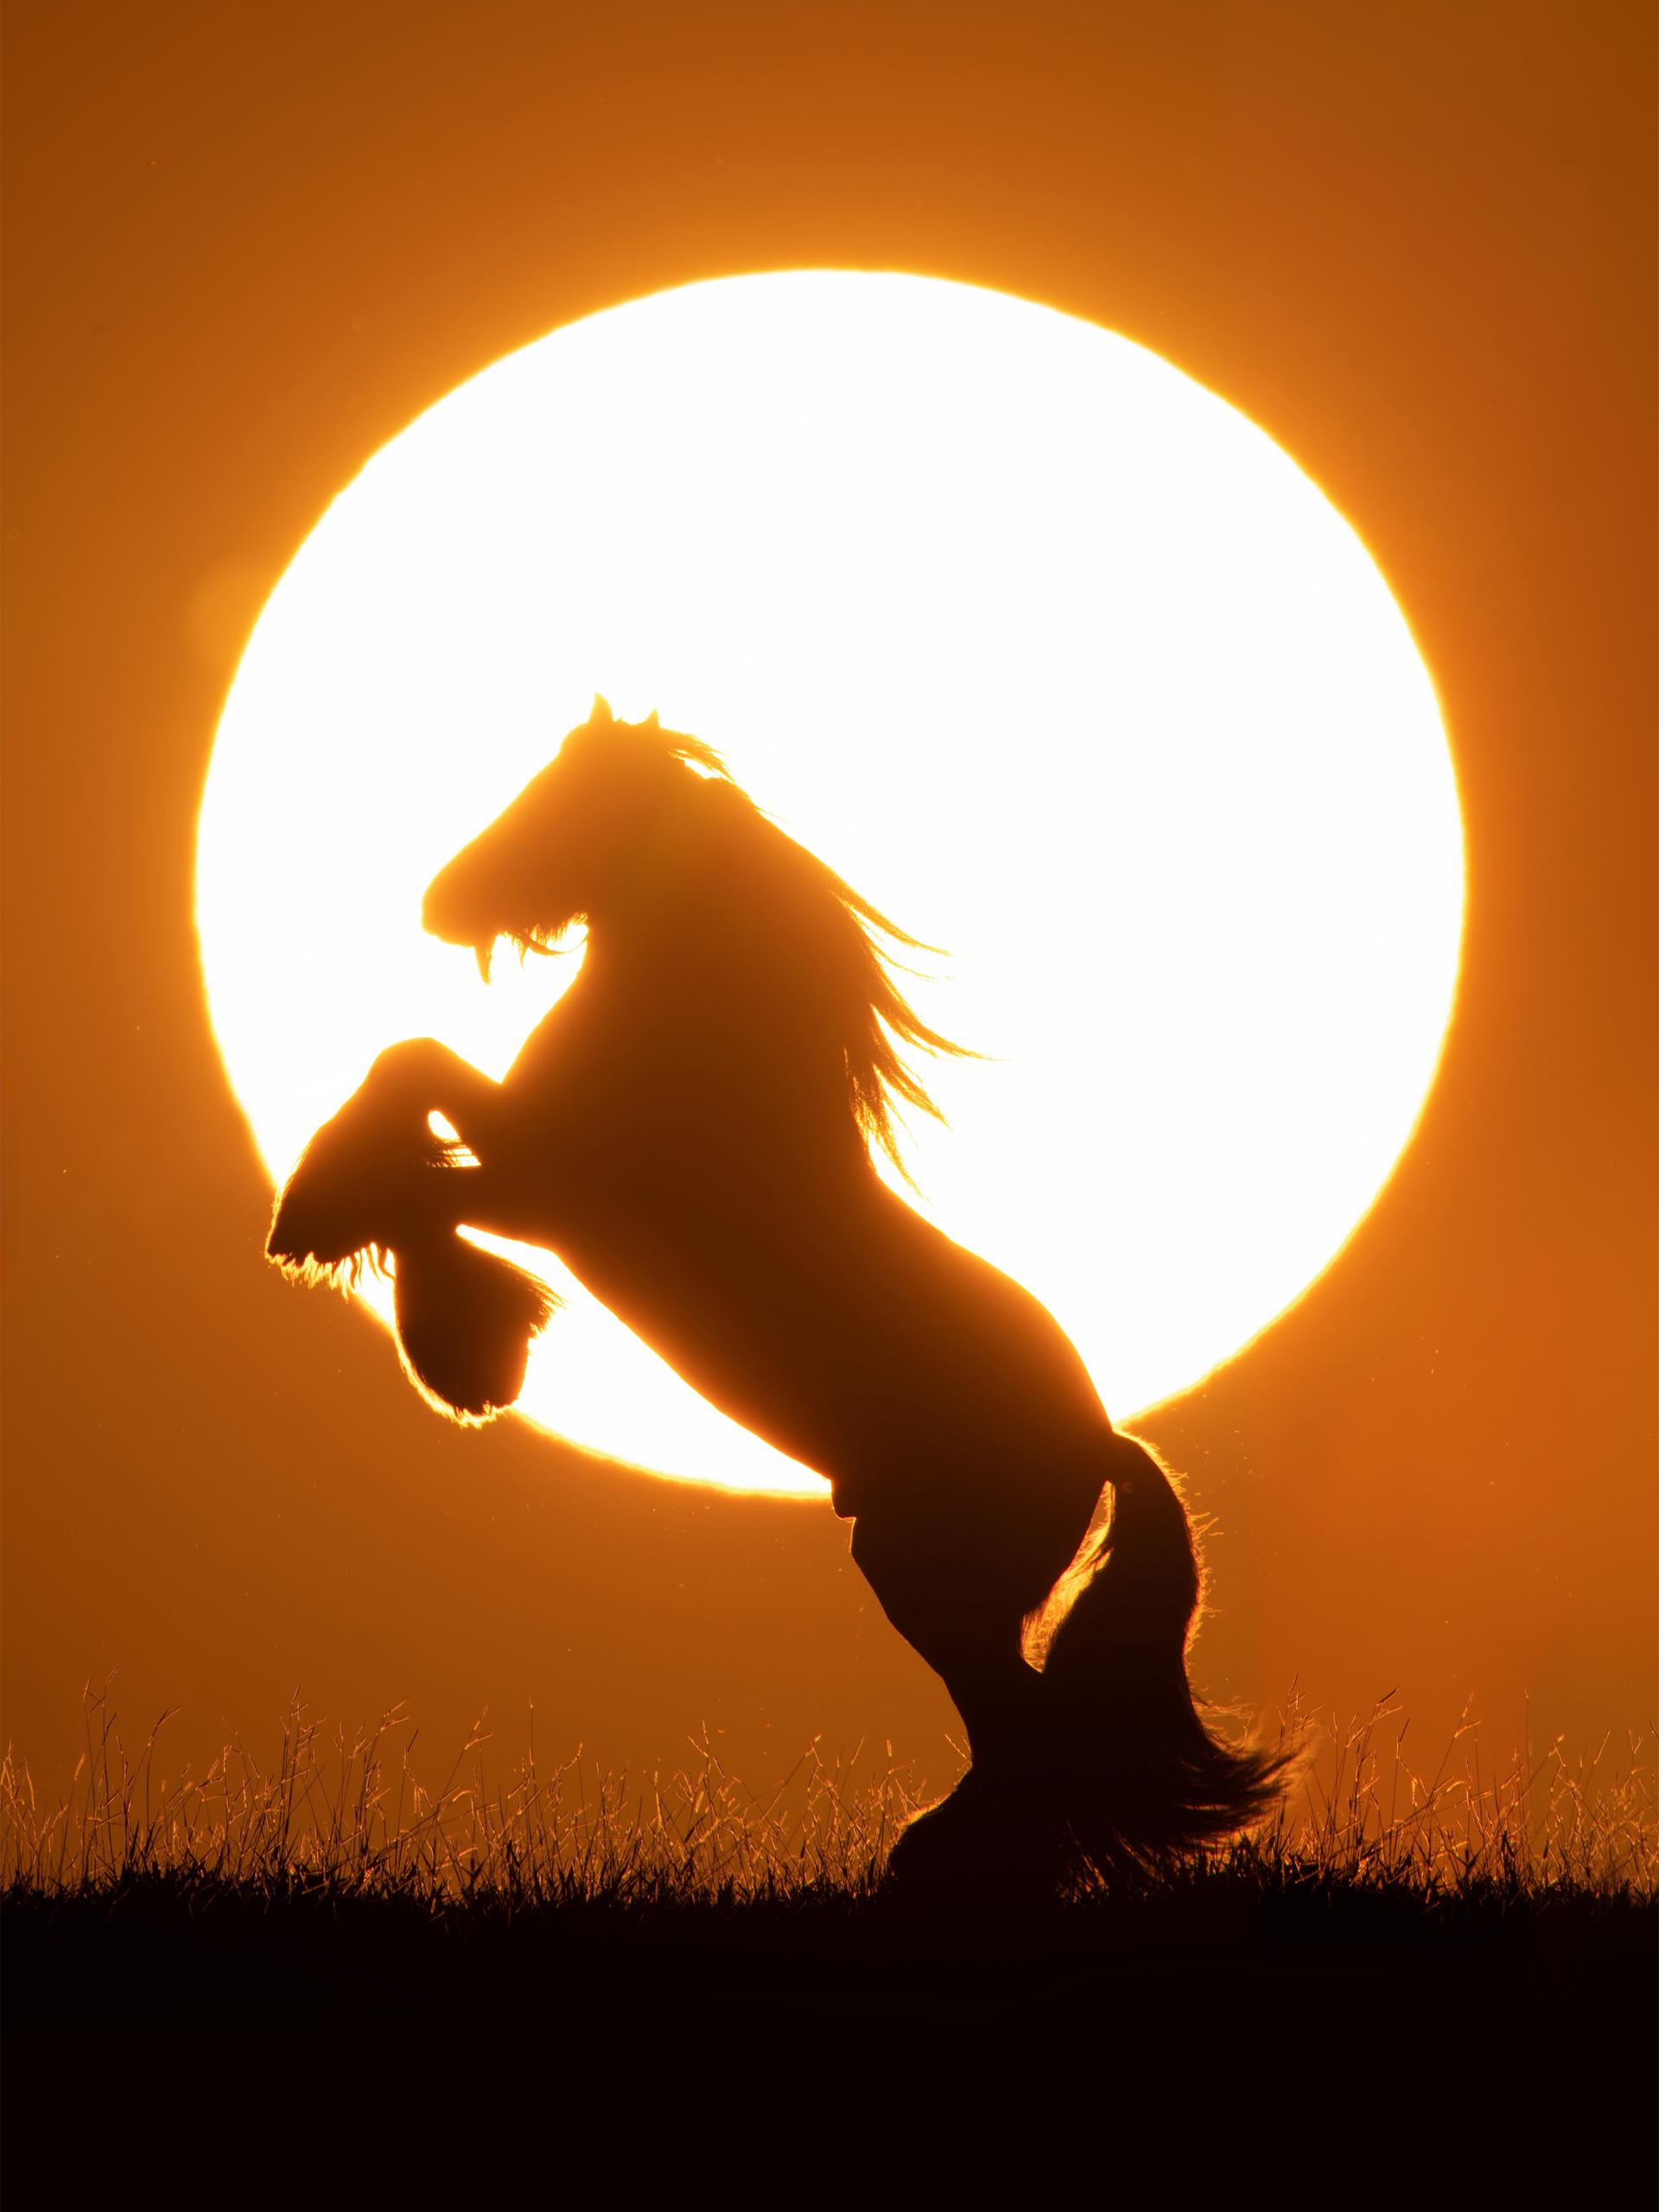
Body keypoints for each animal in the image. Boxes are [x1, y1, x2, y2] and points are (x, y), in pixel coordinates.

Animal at [267, 697, 1288, 1882]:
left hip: (925, 1572)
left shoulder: (549, 1191)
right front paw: (449, 1328)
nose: (441, 904)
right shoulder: (536, 1187)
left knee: (1025, 1729)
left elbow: (415, 1089)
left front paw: (390, 1282)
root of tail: (1099, 1440)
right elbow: (417, 1116)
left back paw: (939, 1866)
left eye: (569, 800)